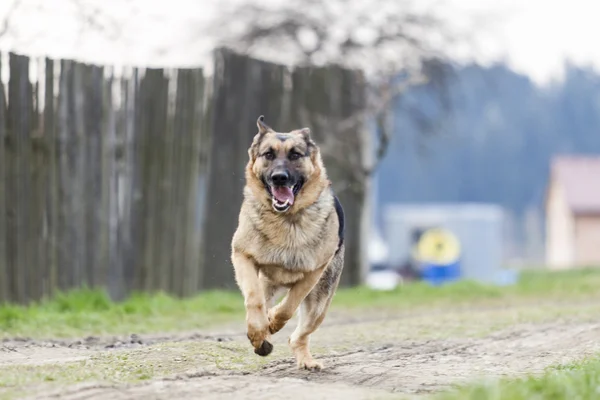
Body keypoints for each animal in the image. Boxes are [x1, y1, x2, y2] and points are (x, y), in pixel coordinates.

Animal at [231, 115, 344, 368]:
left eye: (295, 155)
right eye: (268, 154)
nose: (279, 178)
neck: (286, 219)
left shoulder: (313, 272)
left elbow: (288, 306)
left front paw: (273, 321)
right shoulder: (242, 255)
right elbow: (253, 299)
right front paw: (258, 333)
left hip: (319, 305)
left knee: (298, 336)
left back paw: (306, 360)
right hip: (267, 282)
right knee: (262, 300)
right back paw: (262, 338)